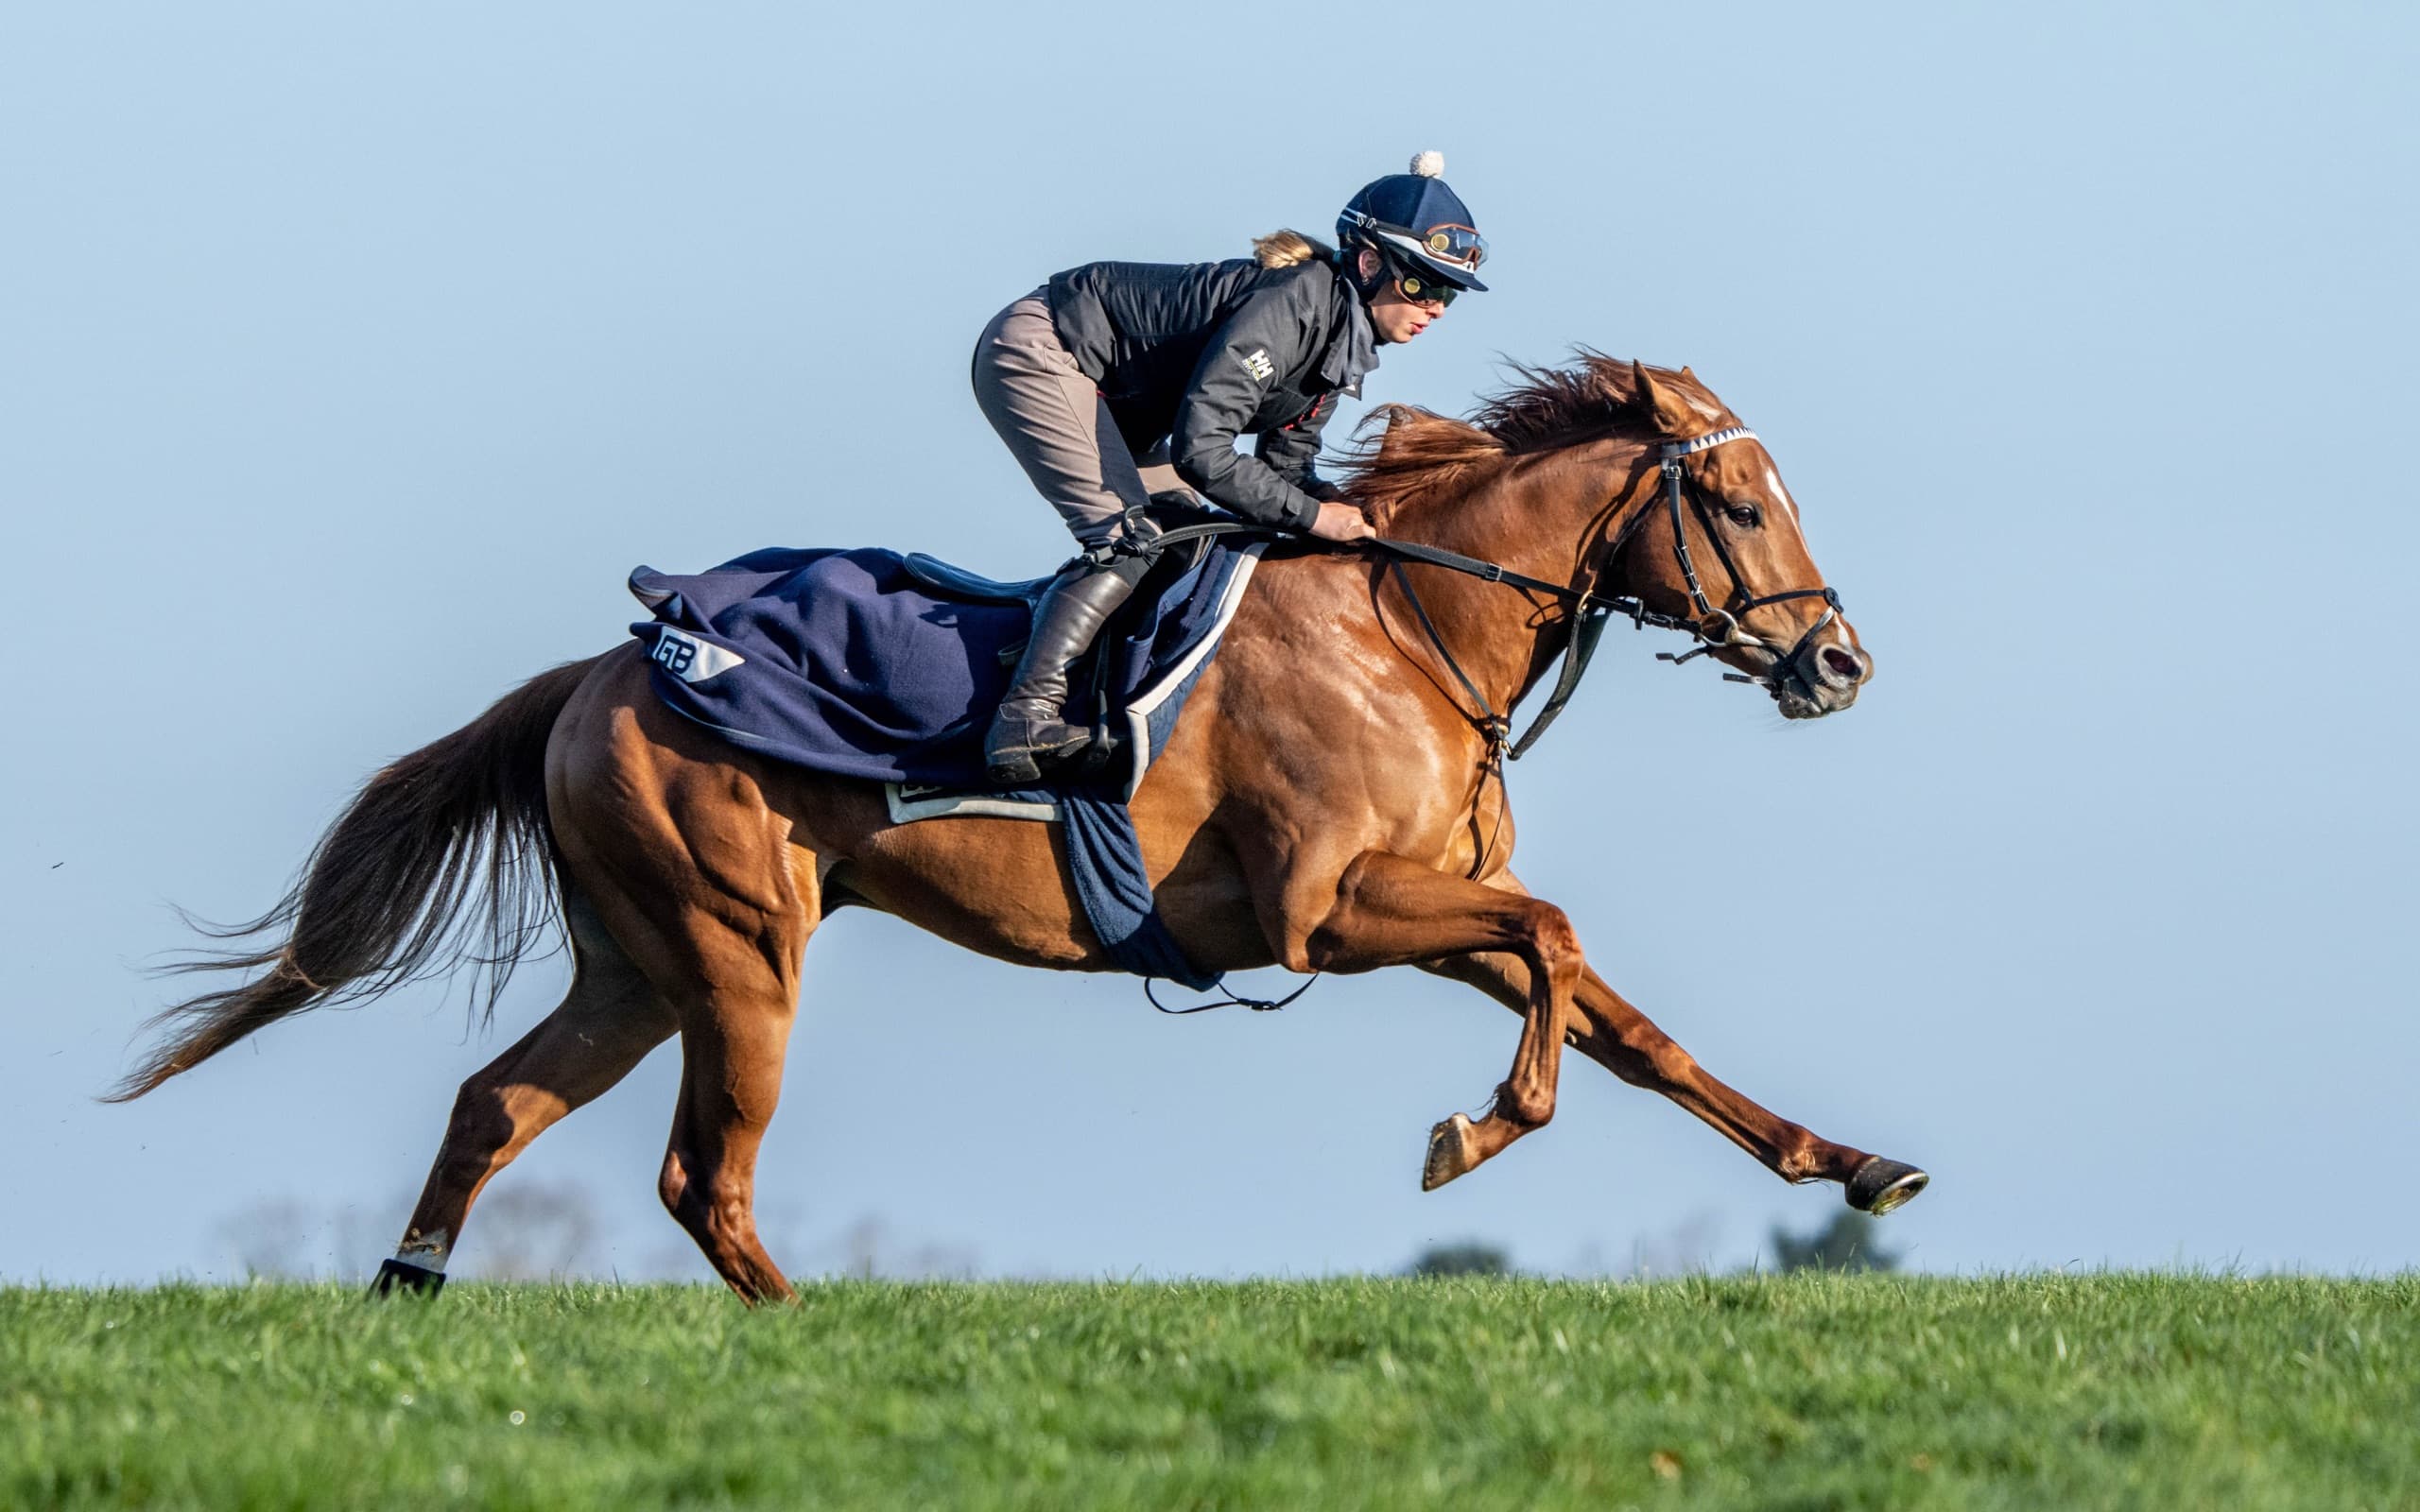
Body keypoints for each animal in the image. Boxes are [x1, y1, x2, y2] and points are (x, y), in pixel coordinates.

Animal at [113, 355, 1927, 1301]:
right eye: (1742, 504)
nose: (1841, 662)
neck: (1409, 620)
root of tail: (605, 664)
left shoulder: (1435, 907)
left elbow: (1634, 1025)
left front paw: (1853, 1163)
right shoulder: (1329, 914)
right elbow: (1557, 951)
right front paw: (1473, 1132)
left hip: (638, 963)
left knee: (498, 1104)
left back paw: (406, 1293)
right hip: (739, 951)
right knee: (704, 1174)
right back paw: (809, 1335)